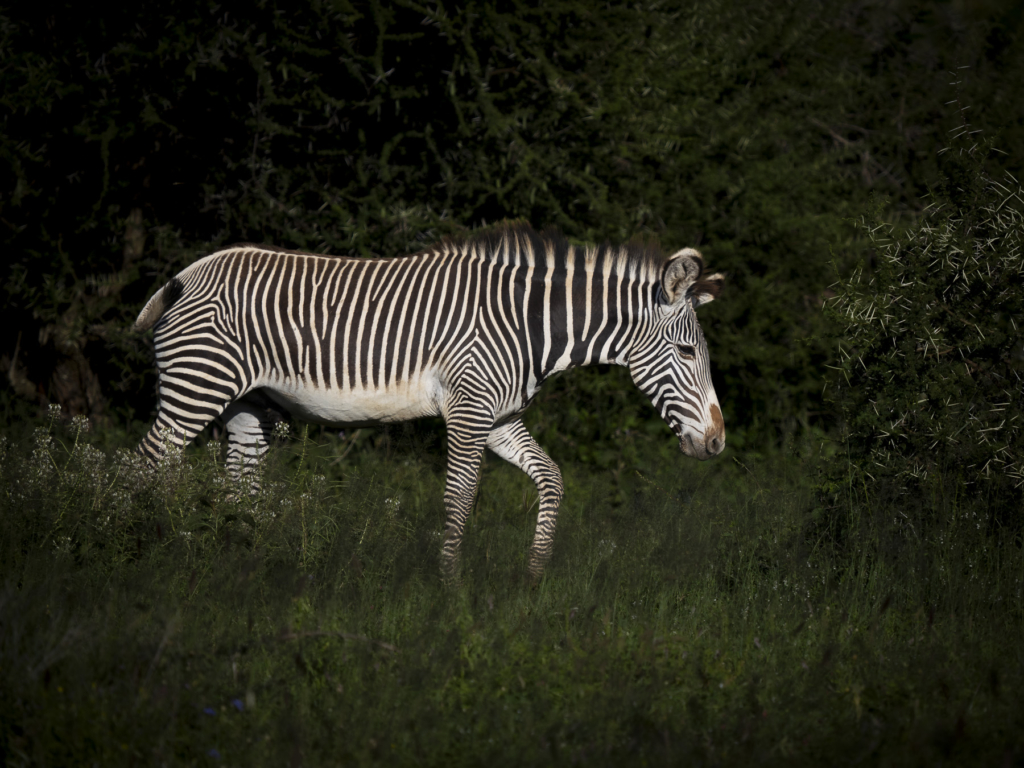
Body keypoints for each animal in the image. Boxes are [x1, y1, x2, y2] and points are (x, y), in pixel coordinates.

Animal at [136, 222, 724, 581]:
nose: (718, 442)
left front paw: (534, 575)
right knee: (146, 465)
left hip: (249, 405)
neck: (530, 326)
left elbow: (552, 477)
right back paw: (146, 554)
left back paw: (241, 568)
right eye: (687, 350)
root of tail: (184, 275)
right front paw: (450, 588)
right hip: (198, 383)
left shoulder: (500, 417)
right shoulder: (469, 409)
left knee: (238, 489)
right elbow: (459, 499)